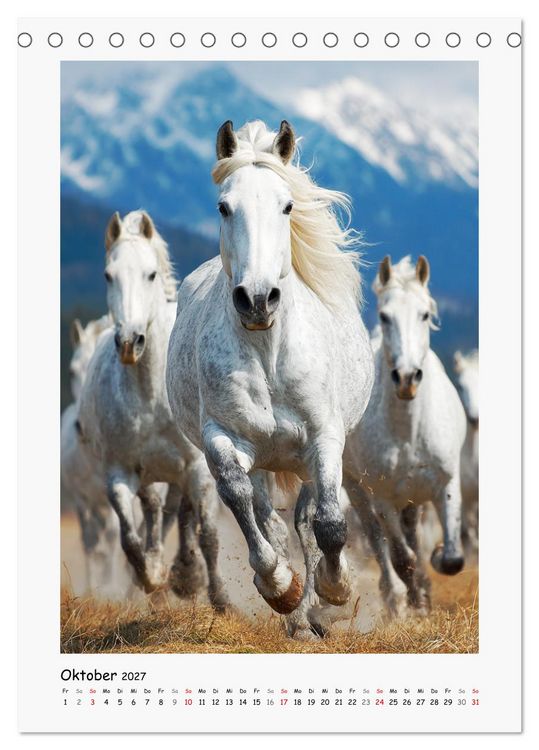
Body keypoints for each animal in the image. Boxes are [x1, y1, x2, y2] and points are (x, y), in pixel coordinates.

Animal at [78, 211, 228, 608]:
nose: (130, 342)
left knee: (182, 515)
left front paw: (215, 595)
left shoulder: (198, 469)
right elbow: (130, 538)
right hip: (153, 475)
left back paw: (188, 573)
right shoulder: (118, 473)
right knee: (156, 511)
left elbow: (207, 533)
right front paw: (150, 575)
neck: (150, 396)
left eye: (150, 274)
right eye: (108, 275)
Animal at [166, 120, 374, 637]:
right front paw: (280, 587)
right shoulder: (223, 437)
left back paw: (316, 611)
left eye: (287, 205)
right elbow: (238, 499)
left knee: (307, 521)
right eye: (224, 206)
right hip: (264, 458)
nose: (257, 300)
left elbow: (330, 523)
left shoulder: (324, 437)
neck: (268, 355)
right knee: (273, 522)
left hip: (303, 459)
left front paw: (336, 591)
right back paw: (296, 612)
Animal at [343, 255, 467, 617]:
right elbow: (401, 557)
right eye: (385, 316)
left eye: (424, 314)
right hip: (356, 489)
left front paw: (430, 580)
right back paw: (395, 599)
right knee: (377, 539)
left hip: (413, 495)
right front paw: (410, 603)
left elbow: (451, 558)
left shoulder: (447, 483)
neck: (408, 431)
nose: (407, 378)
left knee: (410, 530)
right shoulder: (382, 496)